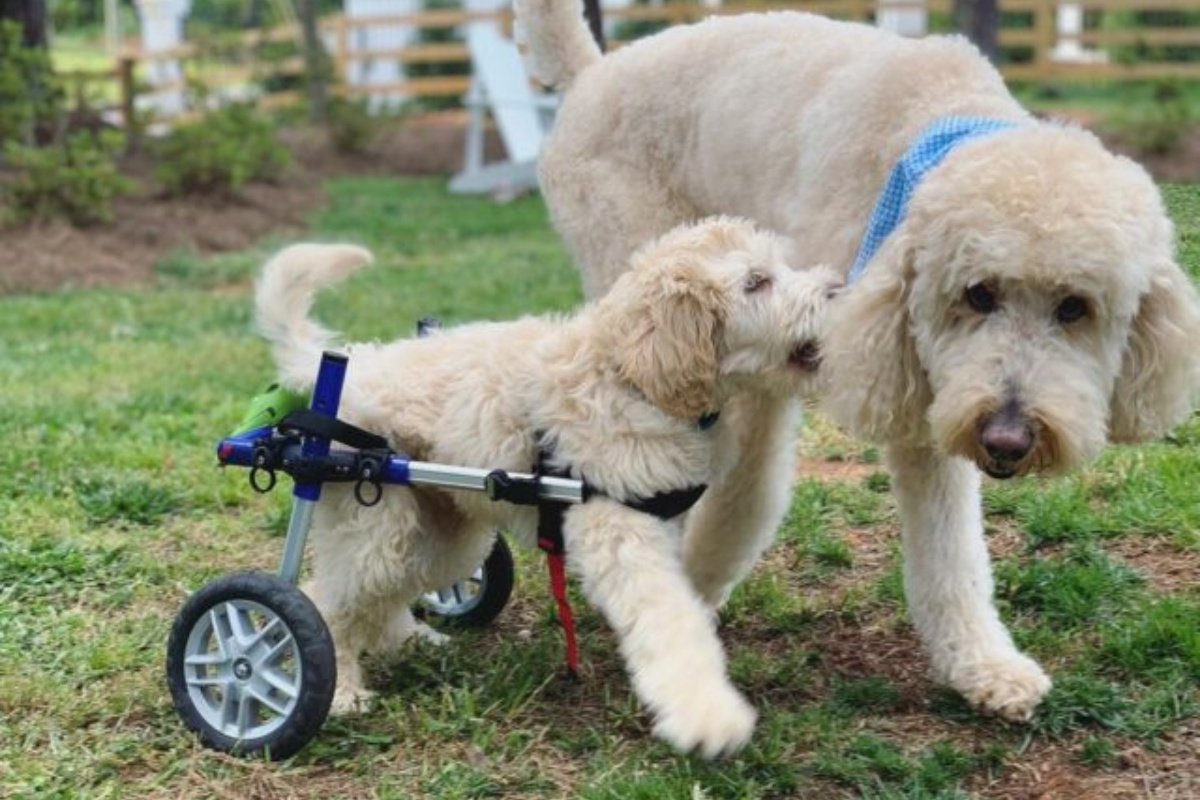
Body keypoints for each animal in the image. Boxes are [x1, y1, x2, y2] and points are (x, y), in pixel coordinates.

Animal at [253, 217, 835, 758]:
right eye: (756, 282)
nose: (834, 292)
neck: (631, 377)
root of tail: (353, 366)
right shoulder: (620, 532)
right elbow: (668, 619)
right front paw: (708, 717)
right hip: (375, 519)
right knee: (326, 599)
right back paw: (337, 691)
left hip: (442, 531)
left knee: (384, 596)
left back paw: (414, 641)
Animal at [518, 1, 1200, 719]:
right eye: (978, 293)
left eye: (1074, 308)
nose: (1008, 439)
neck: (932, 129)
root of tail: (594, 70)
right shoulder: (878, 379)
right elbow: (940, 545)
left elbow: (943, 548)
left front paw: (984, 665)